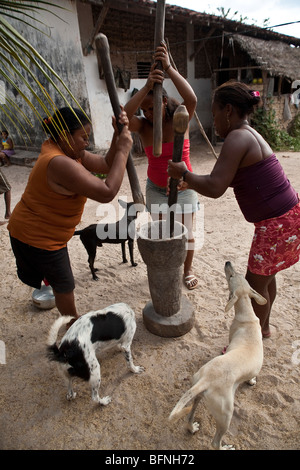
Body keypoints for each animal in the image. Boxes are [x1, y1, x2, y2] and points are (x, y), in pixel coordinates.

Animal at [170, 262, 266, 450]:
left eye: (235, 275)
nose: (228, 262)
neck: (246, 316)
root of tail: (206, 380)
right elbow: (253, 376)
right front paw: (252, 381)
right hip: (225, 415)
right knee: (215, 442)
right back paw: (225, 447)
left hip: (197, 396)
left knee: (189, 417)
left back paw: (192, 428)